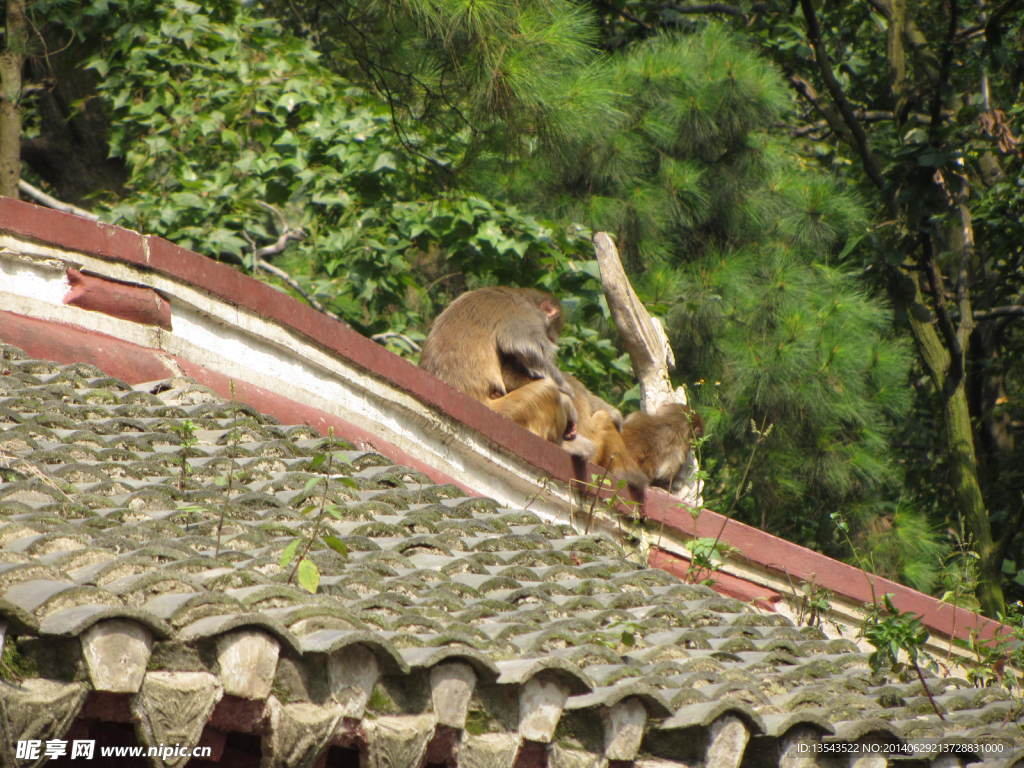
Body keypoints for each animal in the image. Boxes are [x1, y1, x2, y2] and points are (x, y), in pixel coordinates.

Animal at [415, 286, 577, 444]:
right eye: (551, 336)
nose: (552, 339)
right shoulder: (525, 312)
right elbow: (521, 344)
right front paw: (569, 397)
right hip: (510, 412)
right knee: (549, 389)